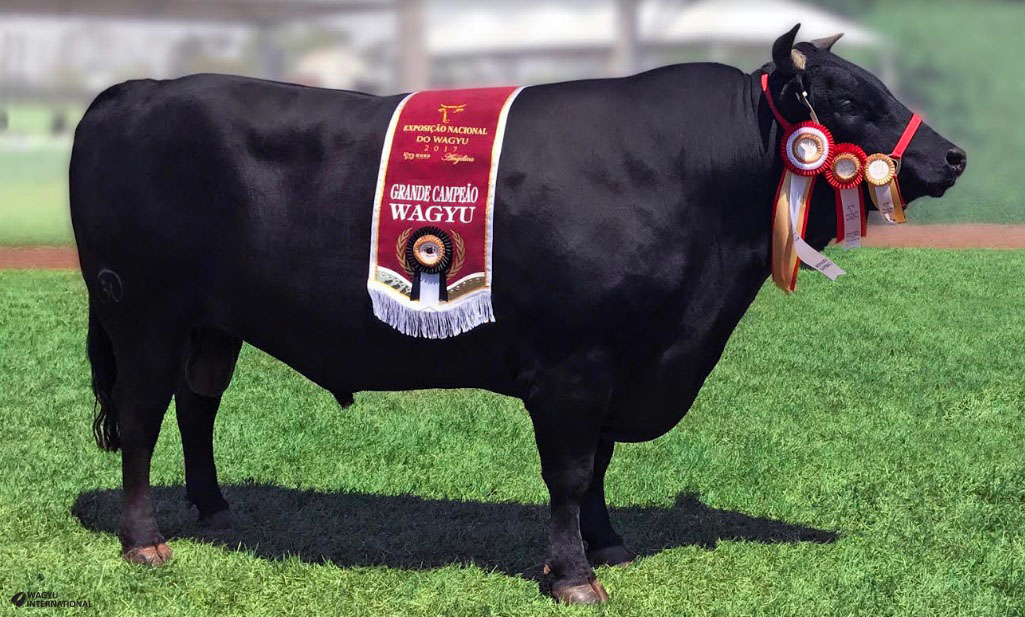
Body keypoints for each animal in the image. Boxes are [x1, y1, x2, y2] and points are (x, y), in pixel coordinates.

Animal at [70, 27, 959, 598]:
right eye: (845, 98)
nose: (949, 155)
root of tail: (130, 90)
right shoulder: (573, 360)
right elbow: (567, 470)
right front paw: (573, 575)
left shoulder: (622, 359)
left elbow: (598, 462)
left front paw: (609, 542)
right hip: (141, 315)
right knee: (143, 417)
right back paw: (145, 541)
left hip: (210, 323)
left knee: (198, 404)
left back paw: (216, 509)